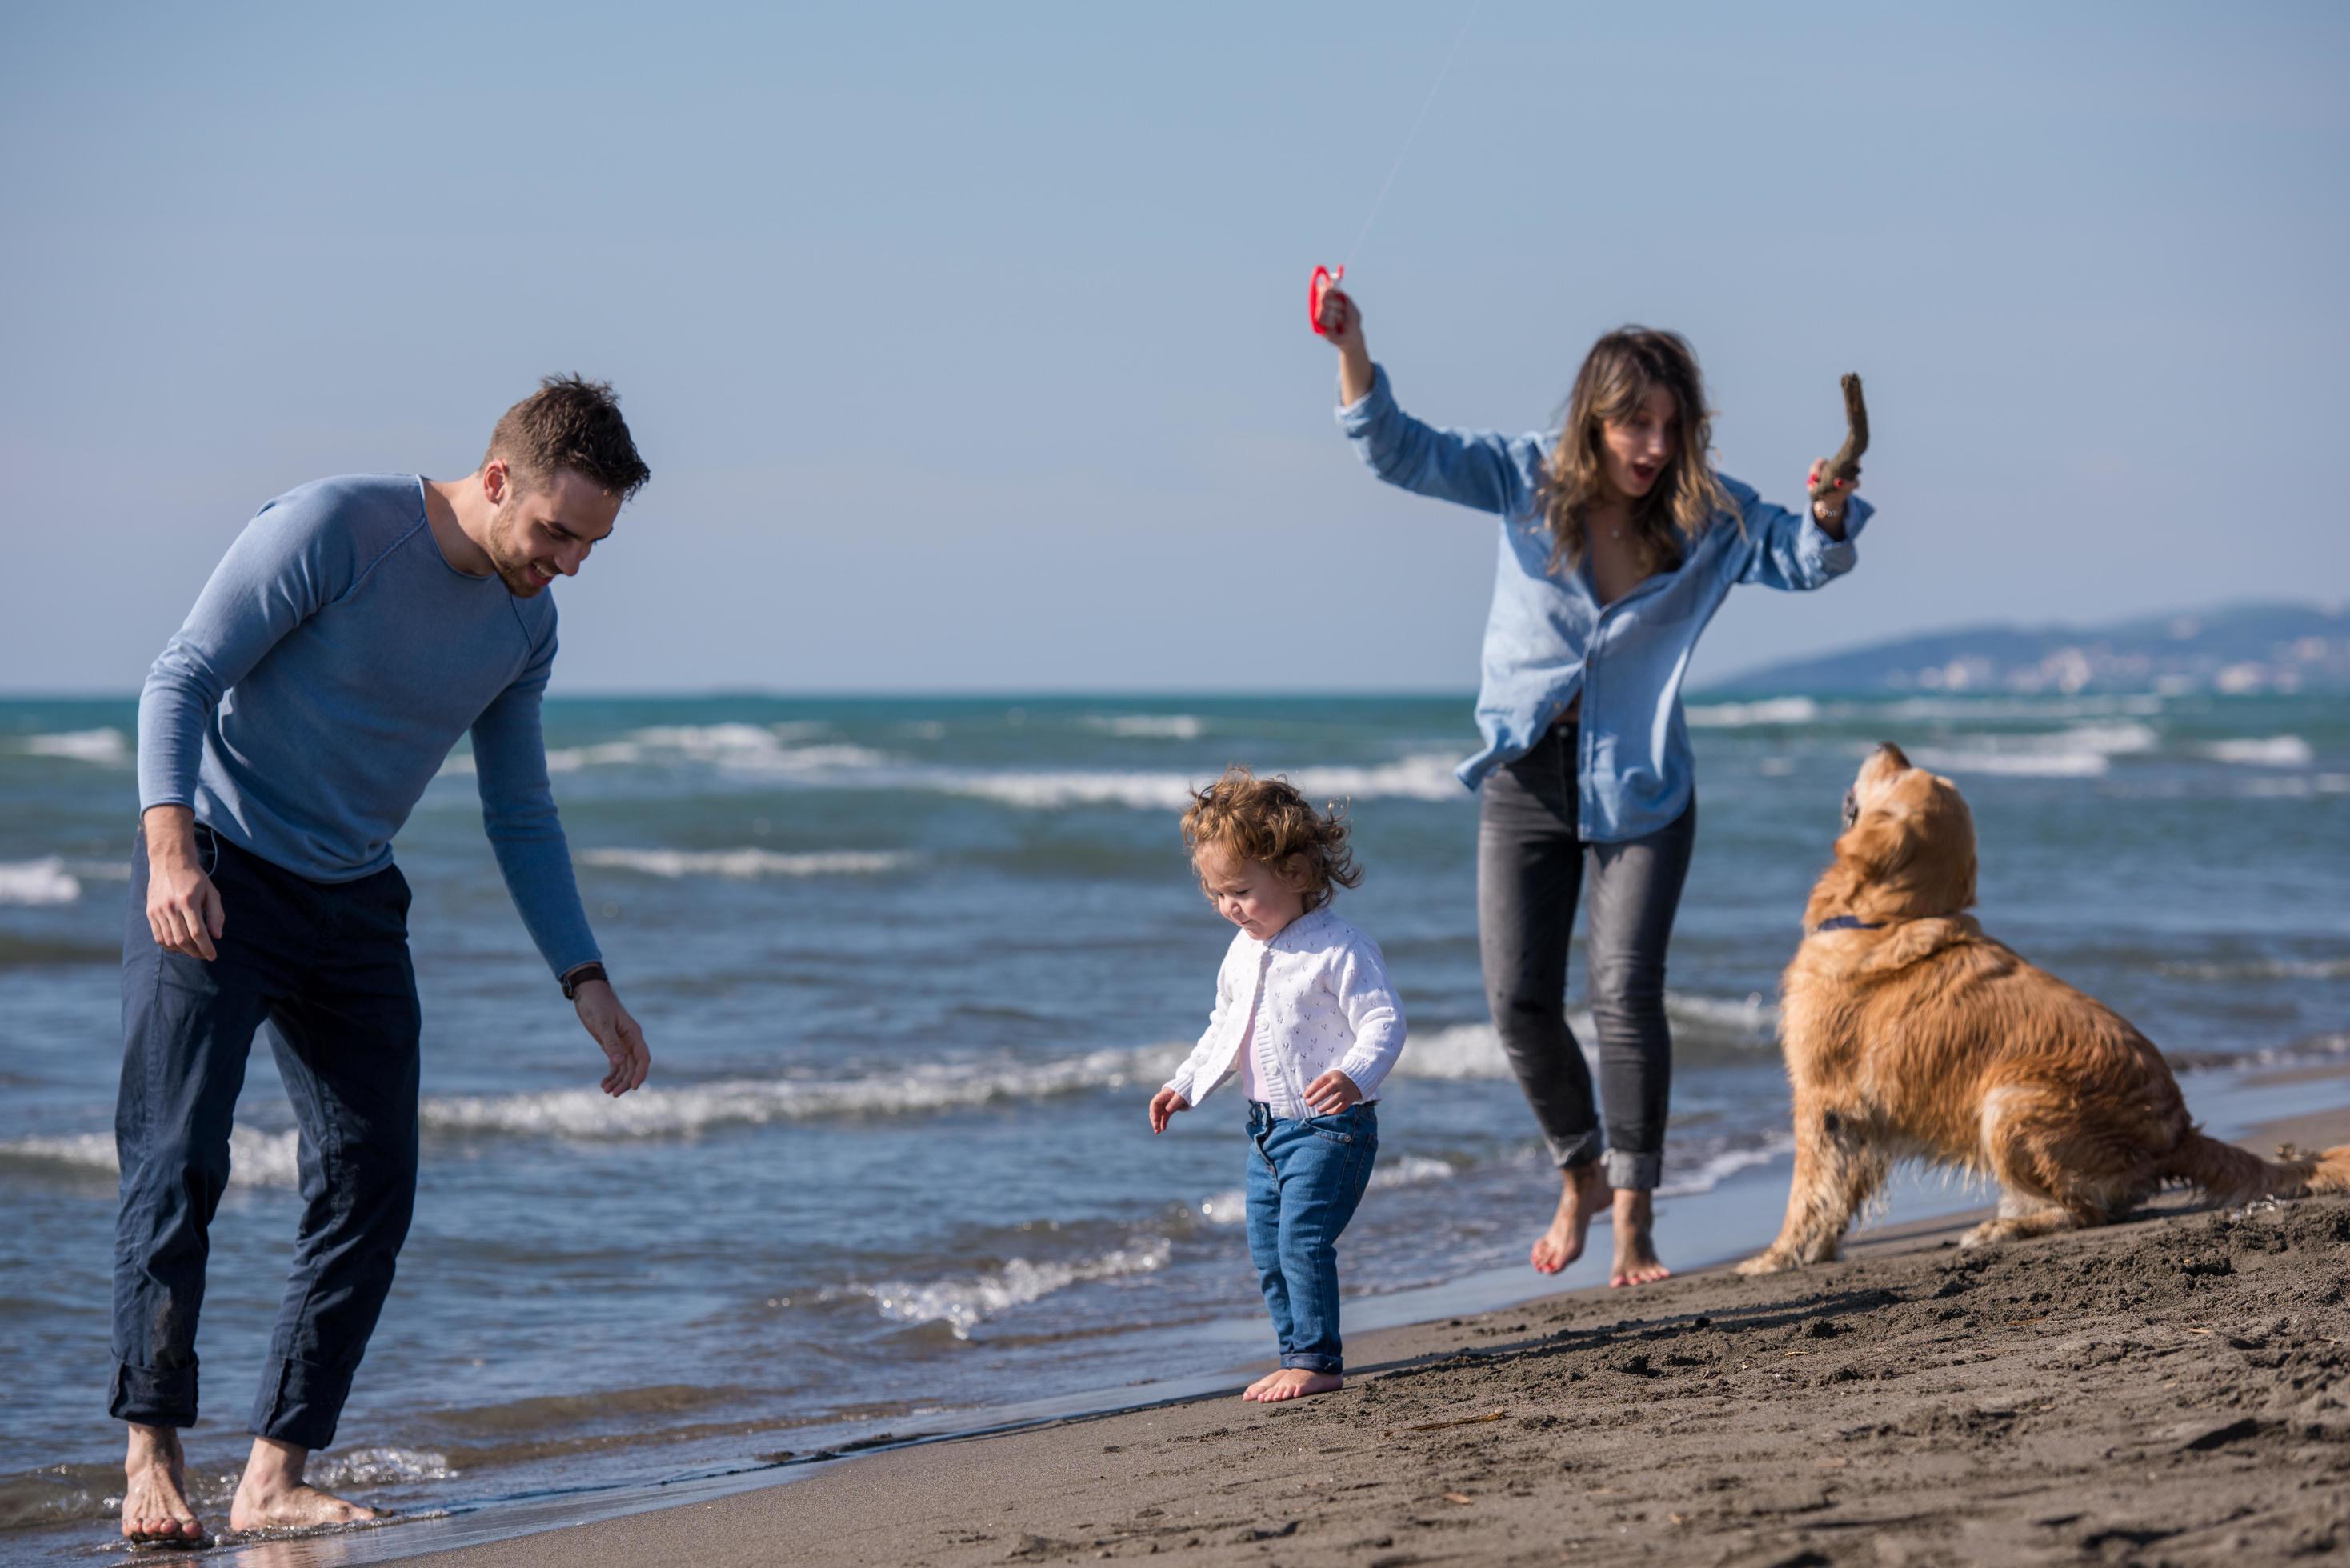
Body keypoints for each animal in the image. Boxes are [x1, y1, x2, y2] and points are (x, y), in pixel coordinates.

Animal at [1739, 738, 2340, 1278]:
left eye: (1901, 774)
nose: (1887, 743)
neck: (1886, 919)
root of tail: (2180, 1132)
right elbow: (1835, 1198)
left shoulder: (1822, 1100)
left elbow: (1807, 1193)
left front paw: (1776, 1258)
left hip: (2009, 1103)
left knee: (2087, 1211)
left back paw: (2005, 1227)